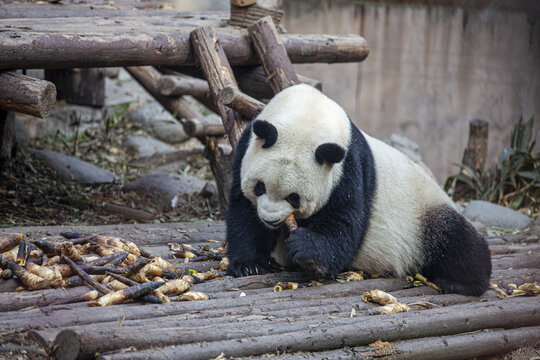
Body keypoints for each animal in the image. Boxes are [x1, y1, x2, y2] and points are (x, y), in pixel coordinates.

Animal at [226, 83, 492, 296]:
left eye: (294, 198)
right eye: (260, 186)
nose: (270, 220)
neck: (309, 111)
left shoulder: (349, 169)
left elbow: (344, 224)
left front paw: (305, 248)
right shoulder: (246, 148)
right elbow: (243, 211)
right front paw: (248, 264)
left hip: (424, 210)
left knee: (456, 240)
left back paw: (462, 282)